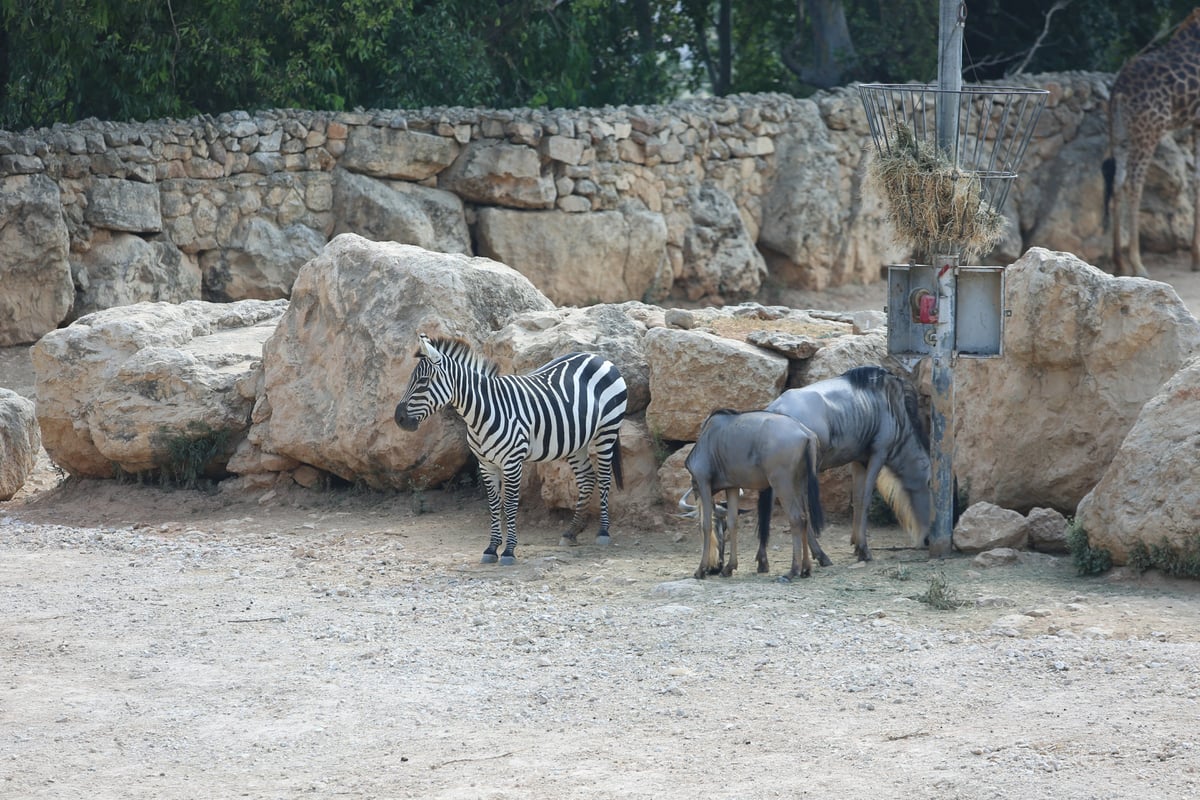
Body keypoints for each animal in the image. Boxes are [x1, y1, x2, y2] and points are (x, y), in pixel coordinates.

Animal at [398, 335, 633, 566]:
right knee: (587, 478)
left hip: (607, 429)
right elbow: (494, 505)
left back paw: (603, 532)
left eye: (422, 381)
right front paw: (492, 548)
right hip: (577, 440)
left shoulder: (512, 462)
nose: (398, 419)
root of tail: (598, 357)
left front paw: (509, 551)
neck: (483, 413)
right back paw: (571, 532)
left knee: (604, 478)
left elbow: (510, 504)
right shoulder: (486, 464)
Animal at [1099, 7, 1200, 278]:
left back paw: (1119, 262)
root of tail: (1119, 91)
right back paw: (1137, 264)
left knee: (1117, 182)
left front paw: (1195, 258)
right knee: (1134, 184)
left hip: (1120, 133)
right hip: (1148, 131)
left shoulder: (1196, 122)